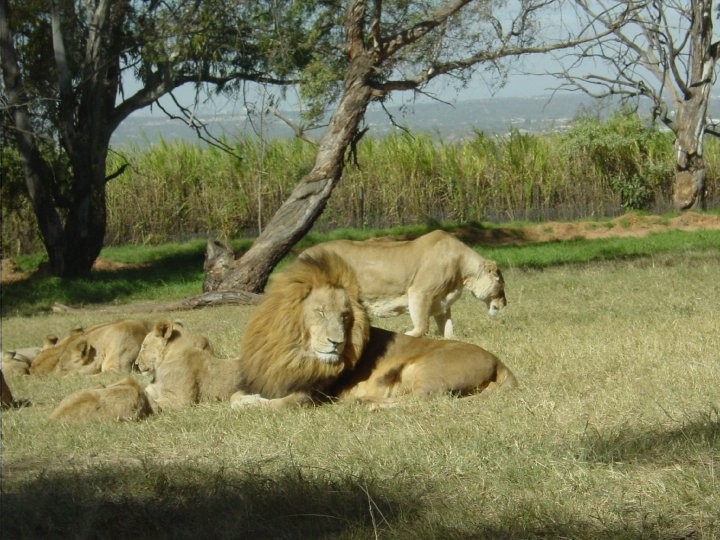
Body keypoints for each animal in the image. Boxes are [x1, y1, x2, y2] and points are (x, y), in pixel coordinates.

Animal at [231, 251, 516, 409]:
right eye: (320, 312)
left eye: (345, 316)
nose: (337, 343)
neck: (292, 350)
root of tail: (499, 362)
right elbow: (235, 396)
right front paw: (244, 400)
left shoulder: (311, 395)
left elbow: (275, 406)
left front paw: (250, 405)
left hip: (425, 370)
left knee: (426, 401)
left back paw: (367, 403)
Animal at [300, 229, 506, 338]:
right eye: (501, 285)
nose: (505, 304)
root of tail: (302, 254)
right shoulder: (419, 292)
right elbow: (422, 327)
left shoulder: (442, 303)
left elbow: (448, 329)